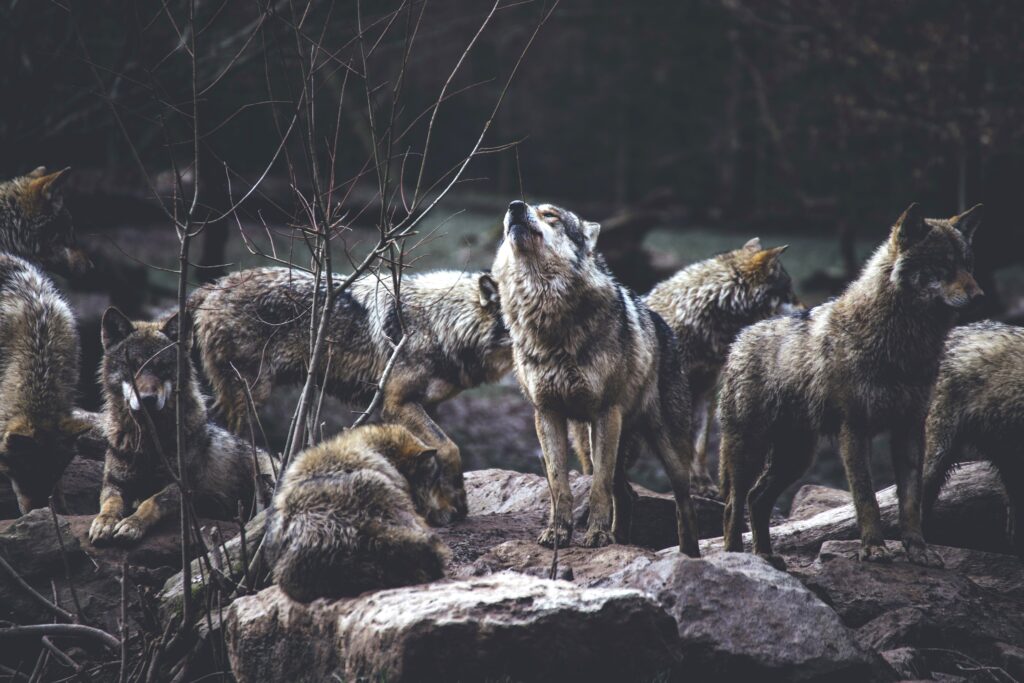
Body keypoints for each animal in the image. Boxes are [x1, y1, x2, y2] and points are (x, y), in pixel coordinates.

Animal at [88, 308, 276, 544]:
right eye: (133, 366)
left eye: (163, 367)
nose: (147, 399)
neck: (149, 441)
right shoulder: (114, 483)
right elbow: (110, 504)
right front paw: (104, 522)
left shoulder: (182, 487)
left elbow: (151, 502)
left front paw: (132, 524)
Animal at [189, 267, 512, 521]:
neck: (441, 323)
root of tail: (214, 286)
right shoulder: (397, 403)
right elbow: (450, 448)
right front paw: (457, 502)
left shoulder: (427, 406)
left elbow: (434, 455)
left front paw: (445, 505)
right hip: (251, 396)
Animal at [492, 200, 698, 555]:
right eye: (518, 209)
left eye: (551, 215)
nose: (515, 207)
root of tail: (664, 325)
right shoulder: (547, 414)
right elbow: (559, 485)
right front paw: (558, 533)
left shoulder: (605, 412)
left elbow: (598, 487)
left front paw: (598, 536)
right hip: (590, 441)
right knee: (627, 494)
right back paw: (622, 540)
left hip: (666, 450)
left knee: (683, 505)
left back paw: (689, 555)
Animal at [719, 203, 983, 567]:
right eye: (943, 264)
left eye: (968, 265)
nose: (979, 296)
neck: (903, 343)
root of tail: (740, 337)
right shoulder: (854, 430)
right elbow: (866, 498)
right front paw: (873, 549)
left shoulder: (910, 429)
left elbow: (911, 502)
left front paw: (918, 550)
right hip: (751, 450)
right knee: (734, 502)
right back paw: (737, 557)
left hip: (796, 457)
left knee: (757, 498)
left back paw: (766, 557)